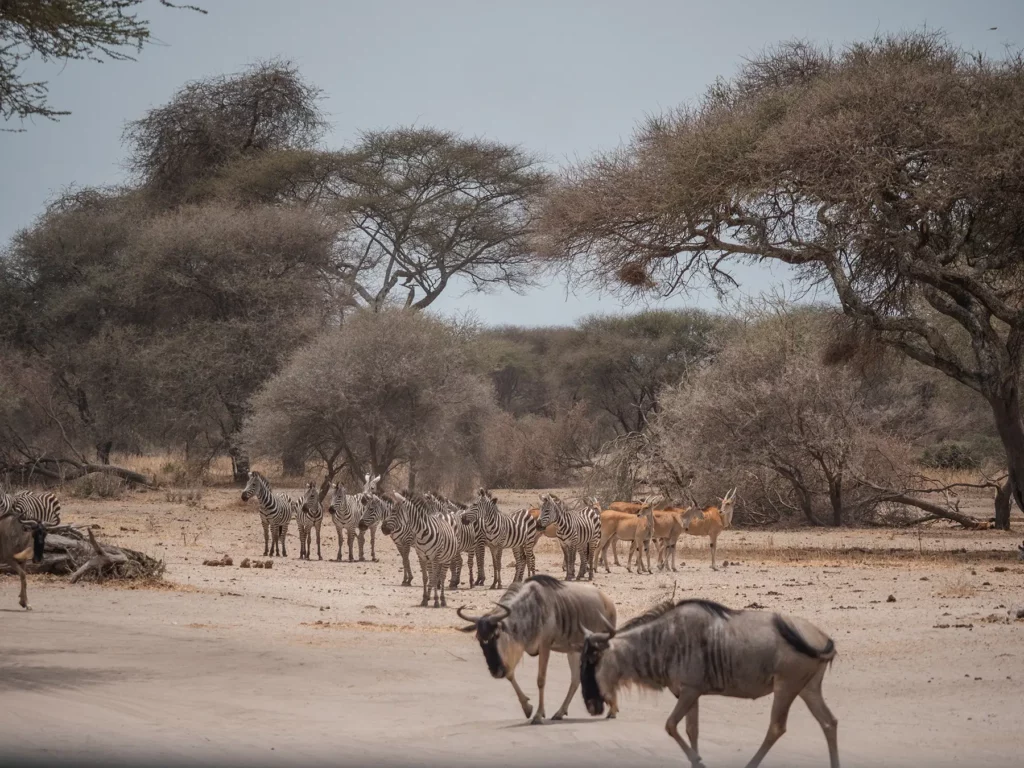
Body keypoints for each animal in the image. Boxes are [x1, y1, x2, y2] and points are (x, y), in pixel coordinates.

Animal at [457, 574, 617, 724]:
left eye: (496, 635)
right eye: (479, 639)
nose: (495, 671)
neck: (530, 609)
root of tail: (609, 603)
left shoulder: (544, 646)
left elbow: (541, 680)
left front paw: (538, 715)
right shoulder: (520, 646)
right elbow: (510, 674)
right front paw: (527, 708)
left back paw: (613, 711)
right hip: (574, 651)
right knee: (575, 679)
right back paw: (560, 713)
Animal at [580, 598, 839, 768]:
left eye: (593, 658)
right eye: (582, 658)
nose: (591, 705)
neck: (664, 640)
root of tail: (822, 637)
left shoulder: (689, 691)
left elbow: (671, 725)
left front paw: (698, 760)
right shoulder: (690, 693)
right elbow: (690, 729)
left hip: (785, 687)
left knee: (777, 727)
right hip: (808, 688)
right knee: (829, 722)